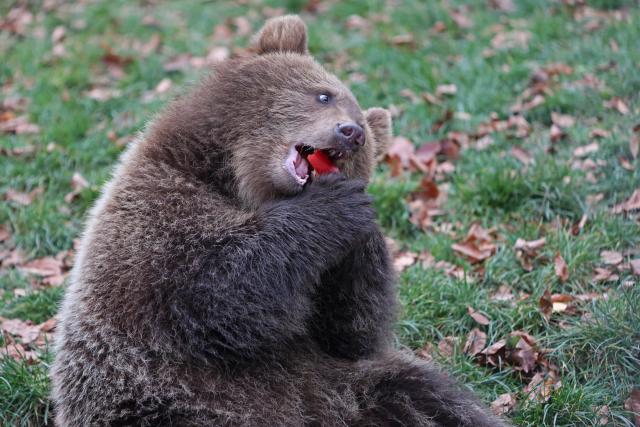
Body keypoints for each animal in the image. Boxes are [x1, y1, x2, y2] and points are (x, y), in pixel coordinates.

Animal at [50, 15, 509, 426]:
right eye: (324, 95)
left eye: (362, 124)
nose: (352, 132)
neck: (242, 185)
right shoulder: (158, 211)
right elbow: (213, 288)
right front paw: (335, 206)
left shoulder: (329, 332)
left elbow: (350, 331)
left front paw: (363, 227)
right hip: (164, 403)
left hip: (348, 390)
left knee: (425, 395)